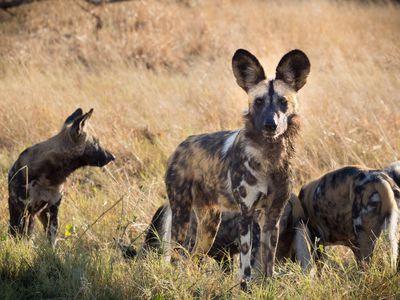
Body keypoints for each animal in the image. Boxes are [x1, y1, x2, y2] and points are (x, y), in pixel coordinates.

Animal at [7, 108, 115, 246]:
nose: (112, 157)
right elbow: (19, 235)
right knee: (16, 230)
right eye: (96, 143)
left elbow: (52, 236)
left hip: (40, 213)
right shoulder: (23, 208)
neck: (49, 175)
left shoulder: (53, 207)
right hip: (21, 211)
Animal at [162, 48, 310, 286]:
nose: (271, 125)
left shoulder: (272, 217)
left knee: (192, 257)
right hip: (181, 216)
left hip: (209, 225)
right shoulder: (246, 213)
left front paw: (267, 286)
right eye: (258, 101)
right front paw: (244, 287)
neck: (269, 157)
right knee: (177, 256)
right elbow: (246, 263)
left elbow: (268, 262)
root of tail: (182, 145)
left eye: (283, 101)